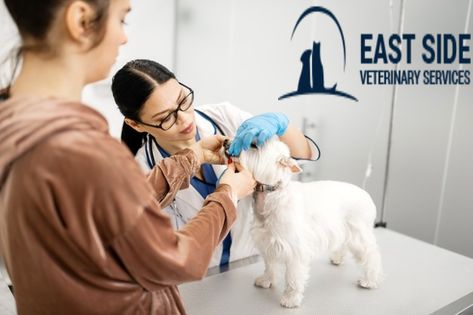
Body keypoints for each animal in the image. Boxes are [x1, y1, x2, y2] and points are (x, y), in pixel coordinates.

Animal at [238, 138, 382, 308]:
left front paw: (290, 299)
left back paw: (370, 280)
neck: (272, 193)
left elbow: (293, 277)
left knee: (371, 255)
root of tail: (366, 195)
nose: (227, 145)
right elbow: (270, 265)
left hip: (358, 234)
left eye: (254, 145)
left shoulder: (295, 249)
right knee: (343, 245)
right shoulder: (267, 242)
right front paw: (266, 280)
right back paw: (337, 259)